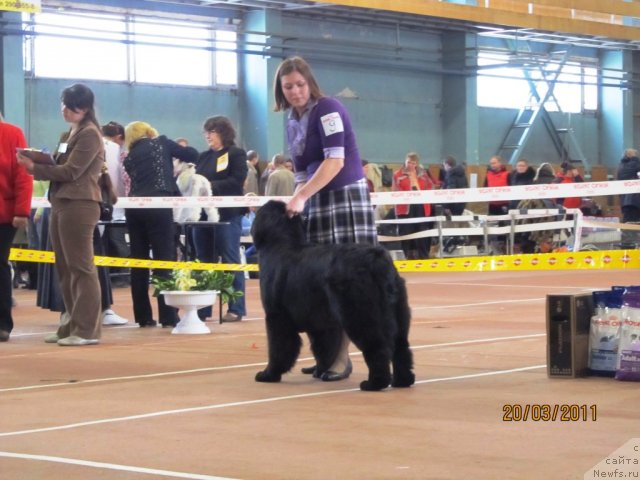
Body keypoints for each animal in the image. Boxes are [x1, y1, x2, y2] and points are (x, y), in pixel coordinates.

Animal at [250, 201, 416, 392]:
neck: (280, 244)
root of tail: (377, 259)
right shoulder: (320, 323)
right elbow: (323, 348)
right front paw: (321, 370)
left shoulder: (277, 318)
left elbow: (279, 349)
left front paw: (268, 374)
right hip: (398, 311)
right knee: (401, 346)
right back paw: (402, 381)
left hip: (362, 314)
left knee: (378, 347)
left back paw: (374, 383)